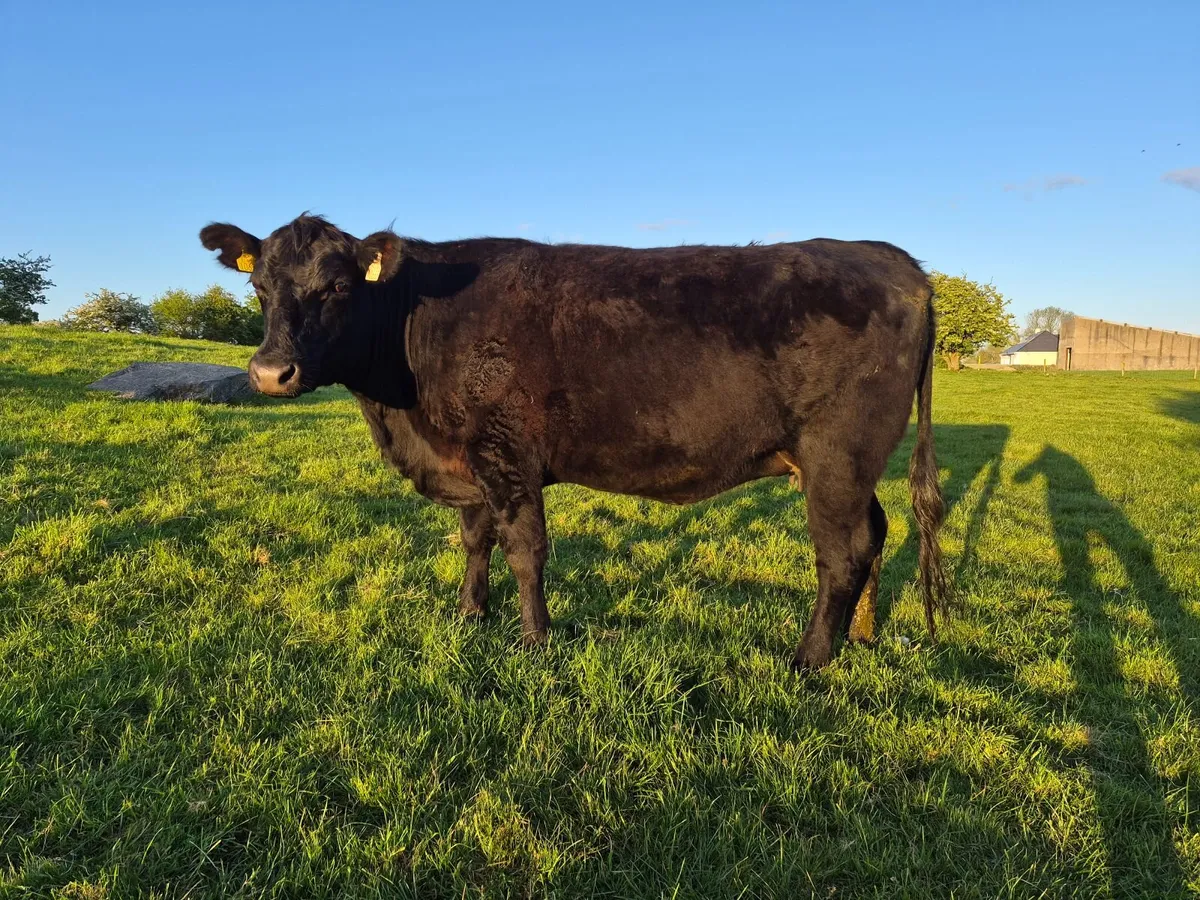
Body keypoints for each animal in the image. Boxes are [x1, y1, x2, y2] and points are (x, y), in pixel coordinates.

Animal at [200, 215, 949, 669]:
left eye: (336, 286)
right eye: (258, 285)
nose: (269, 373)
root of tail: (889, 257)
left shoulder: (507, 454)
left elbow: (525, 552)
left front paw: (534, 642)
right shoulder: (471, 460)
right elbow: (475, 540)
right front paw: (469, 614)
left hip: (836, 454)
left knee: (841, 552)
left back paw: (809, 658)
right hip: (850, 464)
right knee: (874, 534)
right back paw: (860, 634)